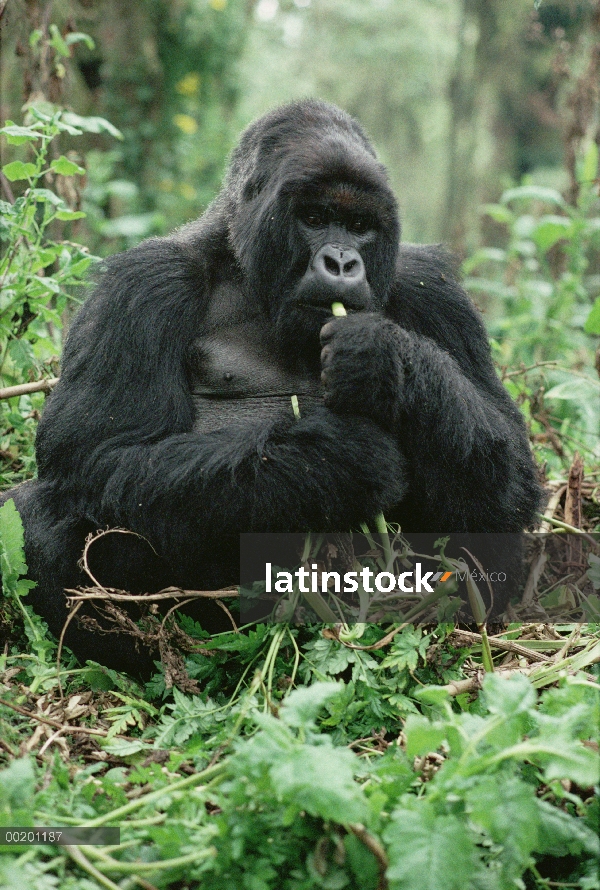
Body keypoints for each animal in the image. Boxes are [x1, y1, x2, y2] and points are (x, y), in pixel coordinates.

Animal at [2, 99, 540, 664]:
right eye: (315, 219)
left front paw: (388, 362)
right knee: (41, 516)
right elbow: (95, 455)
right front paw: (335, 460)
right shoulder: (144, 283)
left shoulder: (432, 289)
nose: (342, 262)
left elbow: (509, 485)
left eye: (359, 225)